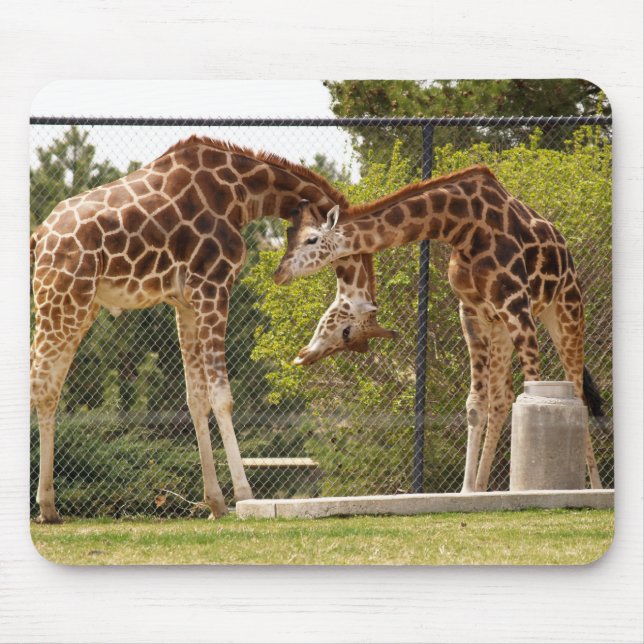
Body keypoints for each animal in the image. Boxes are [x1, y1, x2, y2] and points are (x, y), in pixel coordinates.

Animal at [29, 136, 392, 523]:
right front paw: (244, 495)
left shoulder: (186, 302)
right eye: (347, 332)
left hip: (75, 305)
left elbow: (196, 399)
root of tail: (39, 238)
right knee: (40, 384)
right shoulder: (213, 286)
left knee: (49, 387)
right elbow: (222, 397)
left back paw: (49, 507)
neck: (241, 194)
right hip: (65, 300)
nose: (280, 273)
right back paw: (45, 505)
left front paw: (215, 502)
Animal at [273, 167, 604, 492]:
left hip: (565, 310)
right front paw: (467, 491)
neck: (463, 225)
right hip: (499, 326)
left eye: (311, 240)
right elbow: (476, 403)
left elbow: (534, 389)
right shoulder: (472, 311)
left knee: (576, 391)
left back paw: (594, 486)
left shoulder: (517, 304)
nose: (280, 273)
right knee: (502, 397)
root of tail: (566, 250)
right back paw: (482, 486)